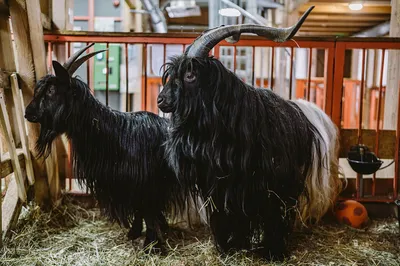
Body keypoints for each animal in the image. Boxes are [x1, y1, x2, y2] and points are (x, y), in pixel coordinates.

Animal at [24, 44, 186, 252]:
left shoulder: (146, 183)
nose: (28, 112)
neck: (112, 133)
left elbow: (147, 211)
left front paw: (152, 245)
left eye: (52, 90)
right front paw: (138, 233)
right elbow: (141, 210)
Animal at [158, 5, 342, 260]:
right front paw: (229, 248)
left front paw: (272, 252)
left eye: (190, 75)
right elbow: (226, 216)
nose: (161, 100)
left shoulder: (267, 185)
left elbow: (270, 216)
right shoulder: (221, 187)